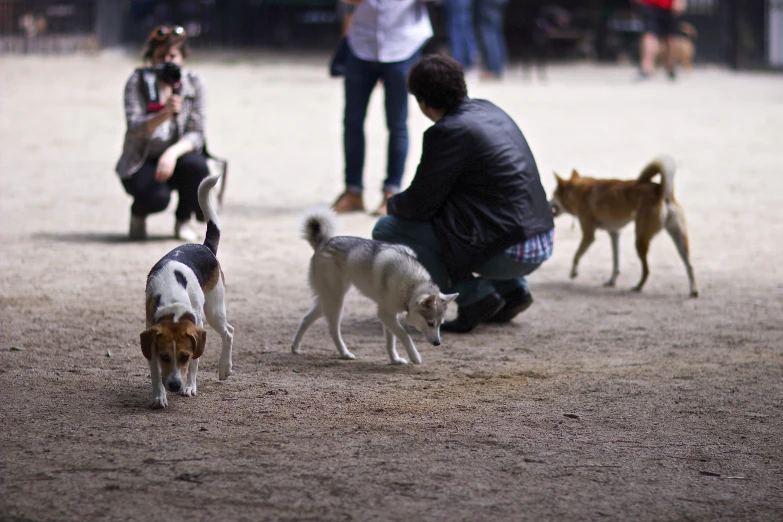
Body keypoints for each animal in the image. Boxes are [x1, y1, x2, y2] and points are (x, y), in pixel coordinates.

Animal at [290, 205, 456, 364]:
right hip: (336, 301)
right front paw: (414, 357)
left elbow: (391, 341)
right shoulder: (385, 314)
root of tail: (324, 242)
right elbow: (404, 335)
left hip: (327, 301)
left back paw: (295, 347)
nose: (438, 343)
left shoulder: (389, 316)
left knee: (306, 318)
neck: (411, 286)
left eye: (441, 324)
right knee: (333, 329)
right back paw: (344, 353)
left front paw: (395, 360)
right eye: (430, 323)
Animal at [548, 153, 700, 296]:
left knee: (647, 271)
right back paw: (693, 290)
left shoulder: (588, 235)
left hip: (640, 239)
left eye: (553, 194)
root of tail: (661, 191)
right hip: (679, 238)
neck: (580, 191)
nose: (547, 203)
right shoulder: (614, 233)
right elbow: (616, 262)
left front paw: (573, 273)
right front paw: (611, 281)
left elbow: (576, 255)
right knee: (689, 266)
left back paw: (637, 287)